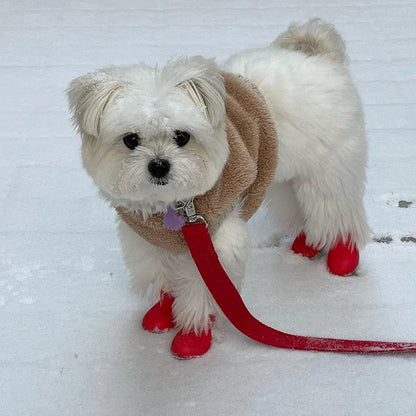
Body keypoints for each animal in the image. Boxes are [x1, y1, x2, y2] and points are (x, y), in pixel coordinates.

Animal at [68, 18, 370, 358]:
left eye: (182, 136)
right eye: (131, 140)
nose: (158, 165)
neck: (172, 207)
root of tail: (320, 56)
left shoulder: (215, 245)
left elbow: (202, 289)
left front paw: (194, 333)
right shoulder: (146, 240)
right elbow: (161, 275)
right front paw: (163, 313)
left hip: (326, 173)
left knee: (337, 214)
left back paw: (342, 256)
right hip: (286, 176)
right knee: (306, 211)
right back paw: (309, 244)